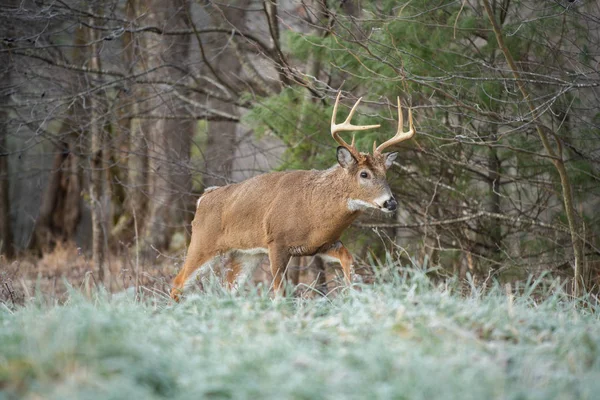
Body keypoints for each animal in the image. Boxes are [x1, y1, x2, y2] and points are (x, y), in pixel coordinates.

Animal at [169, 94, 412, 300]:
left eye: (385, 173)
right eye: (364, 174)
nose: (391, 202)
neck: (315, 210)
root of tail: (204, 197)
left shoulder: (323, 244)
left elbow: (349, 260)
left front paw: (352, 291)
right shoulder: (277, 241)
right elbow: (280, 292)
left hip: (245, 253)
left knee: (228, 288)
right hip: (202, 242)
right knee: (178, 283)